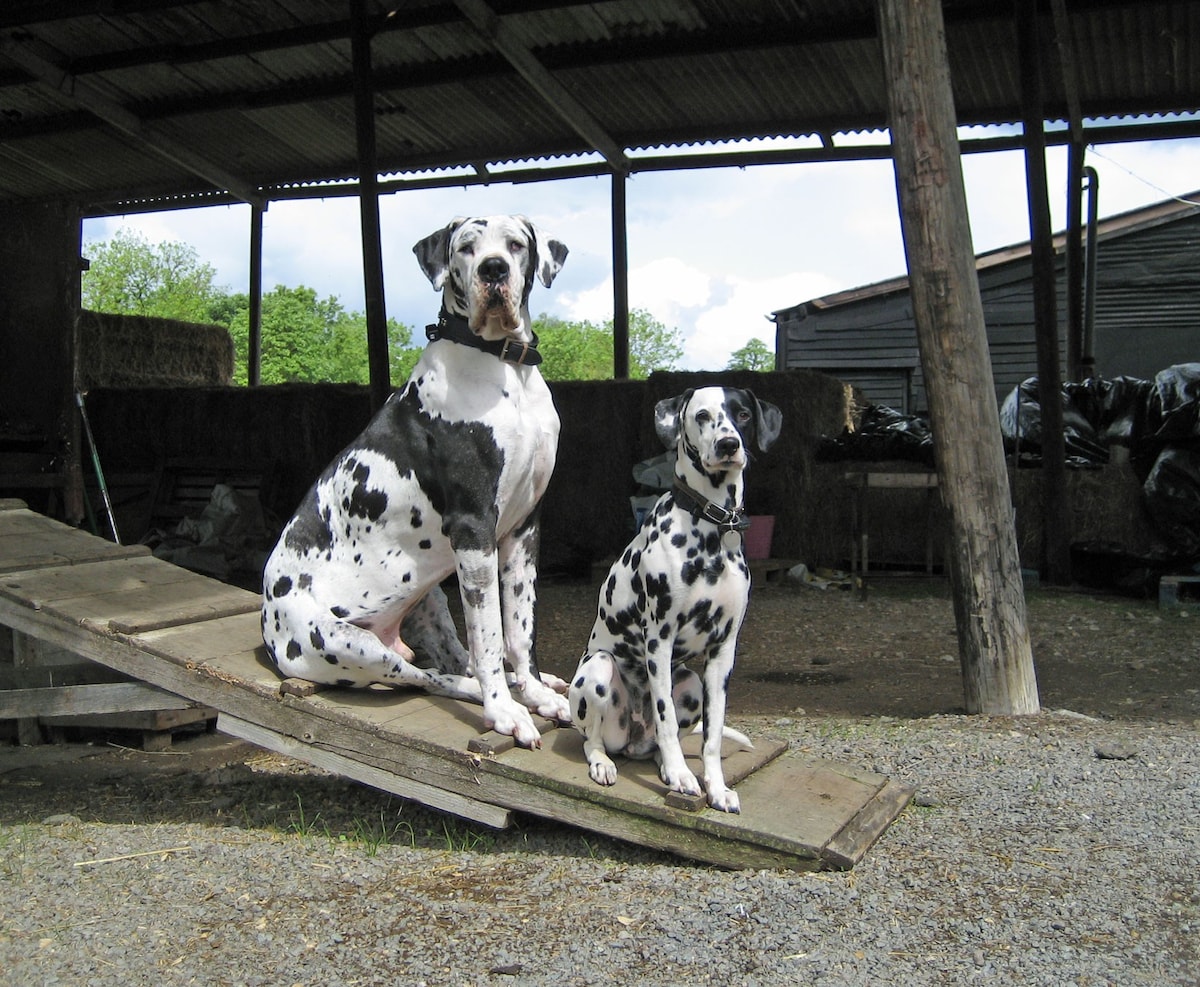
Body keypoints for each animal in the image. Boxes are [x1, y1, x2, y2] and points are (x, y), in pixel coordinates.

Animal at [261, 216, 576, 749]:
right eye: (466, 248)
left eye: (516, 245)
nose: (494, 269)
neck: (505, 368)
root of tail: (267, 619)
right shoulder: (474, 528)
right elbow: (490, 635)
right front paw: (505, 711)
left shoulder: (524, 529)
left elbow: (518, 628)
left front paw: (534, 690)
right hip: (350, 646)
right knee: (432, 677)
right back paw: (488, 695)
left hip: (429, 599)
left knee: (453, 658)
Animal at [566, 384, 782, 811]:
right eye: (701, 415)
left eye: (743, 414)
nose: (728, 444)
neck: (712, 530)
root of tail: (634, 739)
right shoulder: (659, 641)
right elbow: (664, 715)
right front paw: (684, 776)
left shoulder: (723, 651)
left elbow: (712, 736)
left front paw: (716, 787)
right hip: (598, 671)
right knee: (594, 740)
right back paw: (607, 763)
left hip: (691, 684)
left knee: (668, 741)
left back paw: (665, 765)